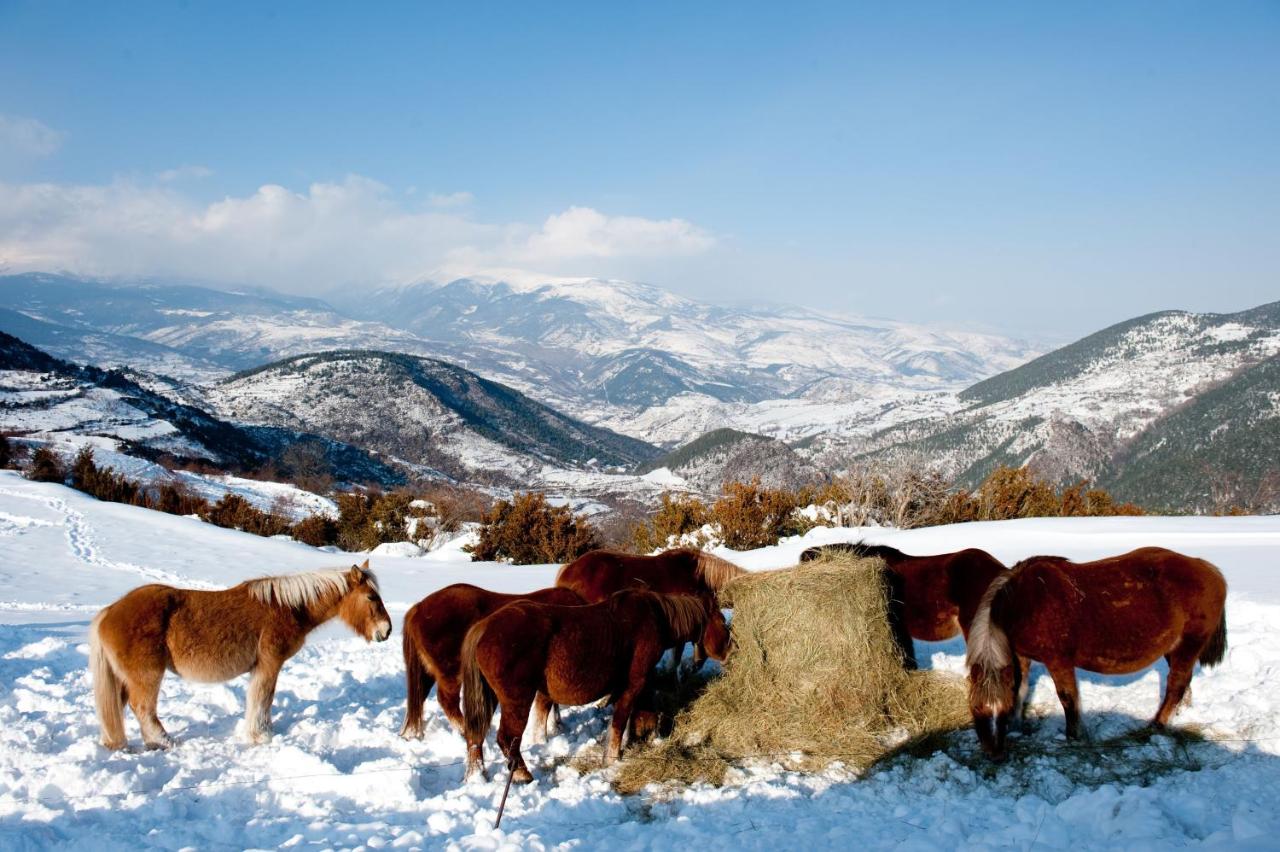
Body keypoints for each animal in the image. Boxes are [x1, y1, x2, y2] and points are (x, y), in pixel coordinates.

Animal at [90, 560, 389, 747]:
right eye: (371, 597)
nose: (386, 630)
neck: (288, 608)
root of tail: (109, 611)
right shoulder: (269, 665)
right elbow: (262, 699)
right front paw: (261, 736)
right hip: (147, 677)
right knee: (143, 709)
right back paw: (164, 742)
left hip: (123, 679)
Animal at [399, 583, 586, 736]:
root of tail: (418, 608)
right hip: (450, 672)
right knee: (447, 702)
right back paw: (465, 731)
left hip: (427, 672)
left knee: (418, 699)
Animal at [463, 588, 732, 777]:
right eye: (722, 622)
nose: (732, 650)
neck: (656, 617)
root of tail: (484, 626)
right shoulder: (633, 684)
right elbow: (620, 721)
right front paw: (611, 758)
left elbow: (642, 713)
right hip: (516, 702)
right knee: (506, 739)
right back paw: (522, 775)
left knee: (477, 737)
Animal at [962, 544, 1223, 757]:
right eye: (976, 708)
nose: (993, 752)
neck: (1024, 603)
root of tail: (1208, 568)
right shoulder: (1021, 655)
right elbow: (1020, 688)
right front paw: (1018, 726)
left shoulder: (1058, 661)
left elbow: (1068, 698)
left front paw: (1072, 736)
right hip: (1174, 649)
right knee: (1182, 684)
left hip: (1187, 647)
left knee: (1175, 686)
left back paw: (1156, 726)